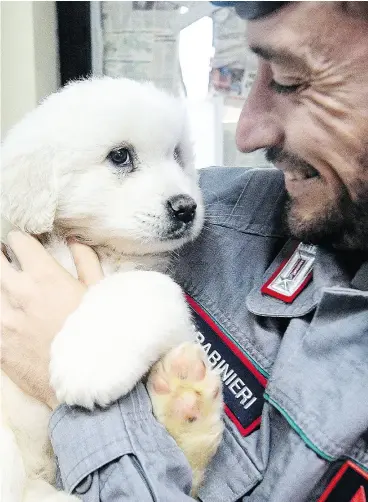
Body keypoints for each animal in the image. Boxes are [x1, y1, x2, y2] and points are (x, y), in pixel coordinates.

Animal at [1, 76, 223, 500]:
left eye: (177, 155)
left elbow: (142, 288)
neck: (101, 249)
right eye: (120, 156)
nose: (186, 207)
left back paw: (187, 405)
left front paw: (89, 361)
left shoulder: (151, 281)